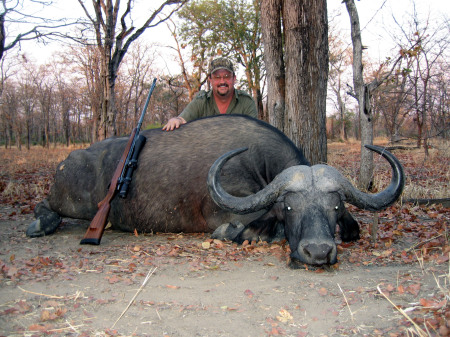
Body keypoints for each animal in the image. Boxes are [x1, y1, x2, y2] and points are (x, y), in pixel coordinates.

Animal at [28, 115, 404, 266]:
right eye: (288, 207)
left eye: (336, 207)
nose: (318, 252)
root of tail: (71, 158)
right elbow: (254, 228)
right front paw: (240, 233)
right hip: (71, 202)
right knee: (45, 206)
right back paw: (40, 224)